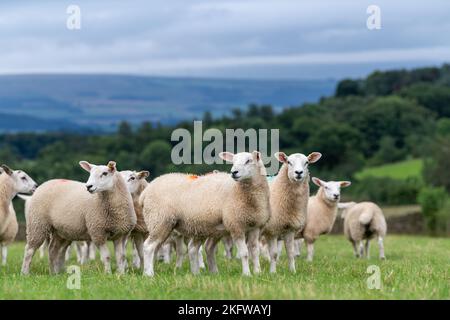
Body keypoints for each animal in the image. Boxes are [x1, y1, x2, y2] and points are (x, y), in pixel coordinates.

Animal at [139, 151, 268, 276]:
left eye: (249, 160)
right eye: (233, 161)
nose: (234, 172)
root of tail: (146, 191)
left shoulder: (255, 226)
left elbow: (255, 251)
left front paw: (258, 272)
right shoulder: (236, 225)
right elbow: (244, 253)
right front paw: (247, 274)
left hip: (198, 227)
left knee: (189, 248)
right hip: (160, 220)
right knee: (148, 246)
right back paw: (149, 274)